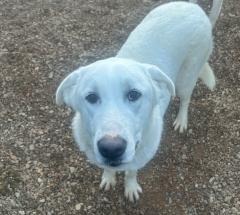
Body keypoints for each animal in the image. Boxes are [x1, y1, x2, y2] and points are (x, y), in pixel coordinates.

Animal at [55, 0, 223, 202]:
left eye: (134, 95)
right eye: (91, 97)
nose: (111, 149)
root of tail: (194, 8)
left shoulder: (139, 156)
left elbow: (131, 172)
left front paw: (130, 187)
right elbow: (107, 169)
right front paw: (109, 178)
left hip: (186, 78)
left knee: (186, 98)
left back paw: (181, 120)